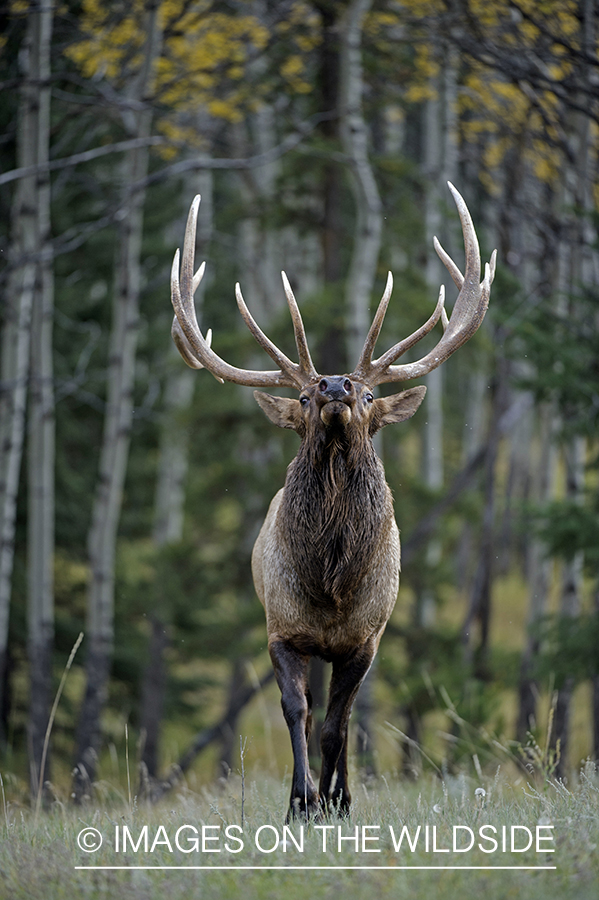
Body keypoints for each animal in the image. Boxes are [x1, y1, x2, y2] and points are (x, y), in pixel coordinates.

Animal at [170, 183, 496, 819]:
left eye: (369, 394)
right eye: (302, 395)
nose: (336, 385)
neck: (332, 585)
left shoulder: (364, 639)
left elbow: (338, 727)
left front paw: (335, 801)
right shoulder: (282, 628)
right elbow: (298, 714)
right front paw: (300, 801)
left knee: (343, 723)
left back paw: (341, 793)